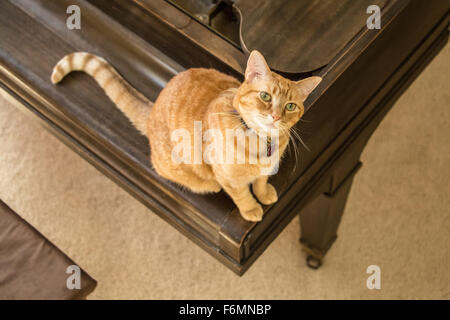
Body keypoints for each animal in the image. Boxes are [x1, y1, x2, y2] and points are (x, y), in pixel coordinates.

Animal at [51, 51, 320, 221]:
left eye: (290, 107)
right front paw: (251, 208)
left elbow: (261, 181)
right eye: (265, 96)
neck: (260, 142)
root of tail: (152, 111)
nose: (275, 116)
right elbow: (242, 194)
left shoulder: (266, 169)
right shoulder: (228, 178)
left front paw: (264, 194)